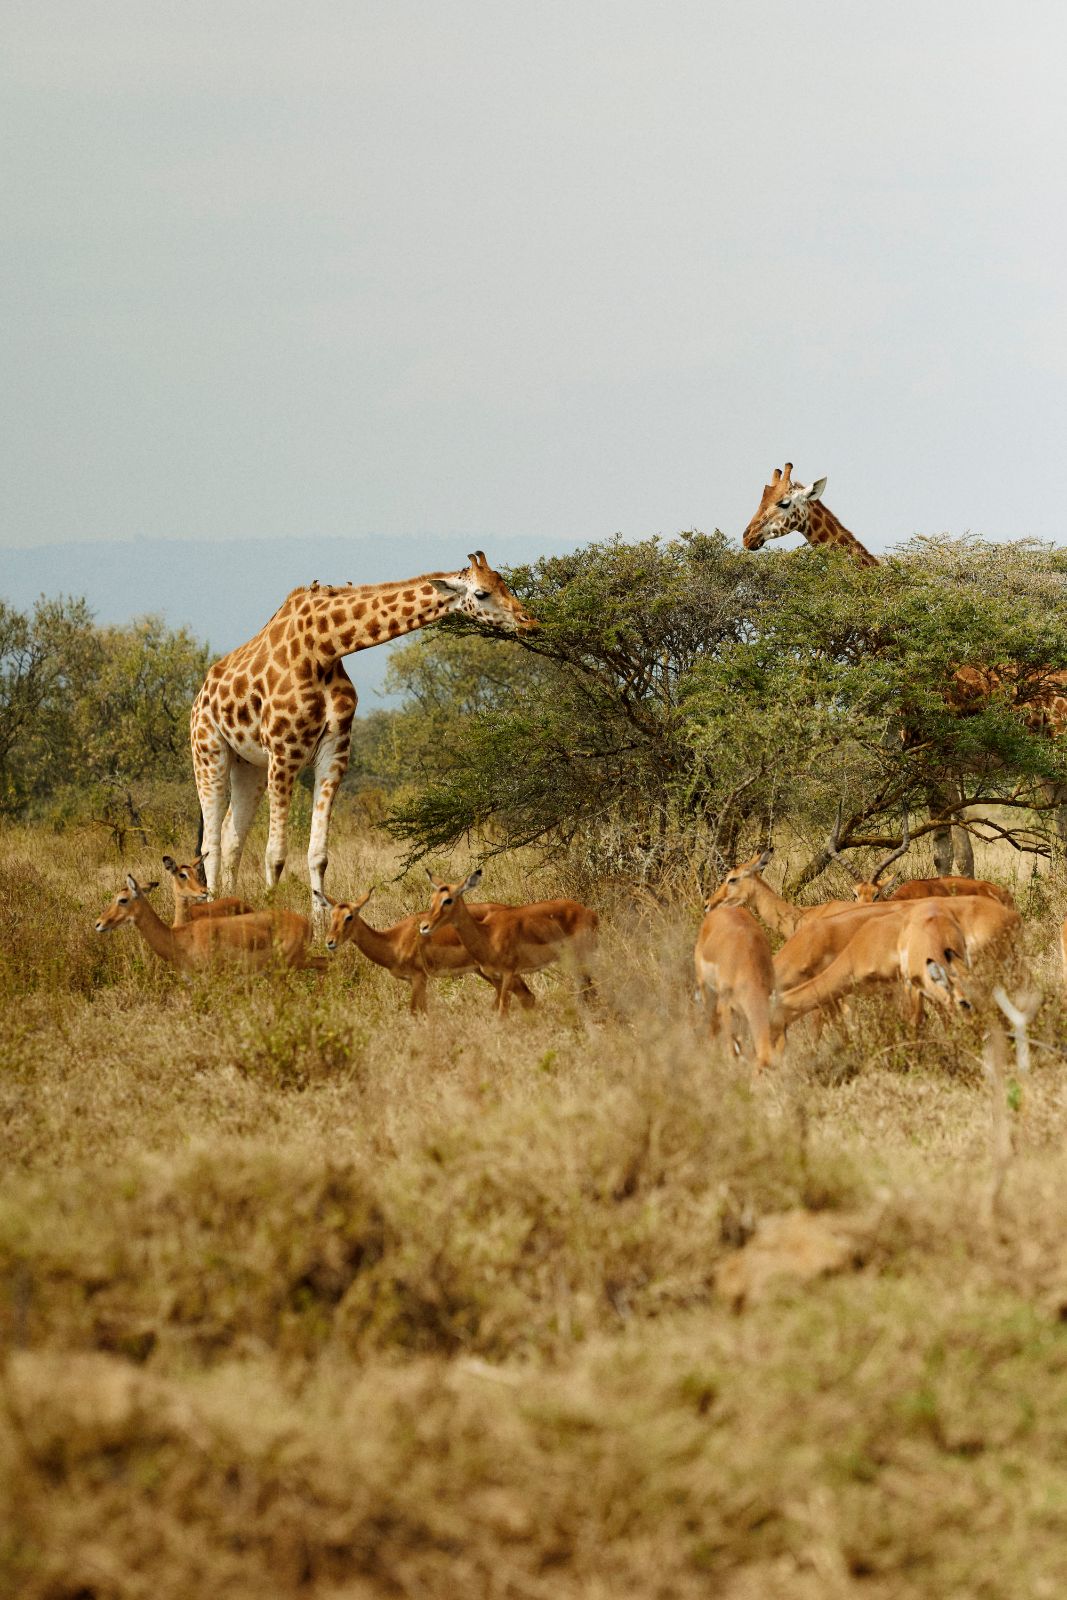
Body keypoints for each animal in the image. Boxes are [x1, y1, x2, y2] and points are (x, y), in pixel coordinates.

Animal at [190, 551, 536, 915]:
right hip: (209, 750)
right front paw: (276, 921)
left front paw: (320, 925)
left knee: (230, 836)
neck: (324, 648)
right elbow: (276, 855)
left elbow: (318, 855)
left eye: (504, 584)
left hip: (250, 765)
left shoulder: (334, 752)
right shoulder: (284, 753)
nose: (530, 622)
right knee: (210, 843)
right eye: (481, 593)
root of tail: (200, 696)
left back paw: (230, 908)